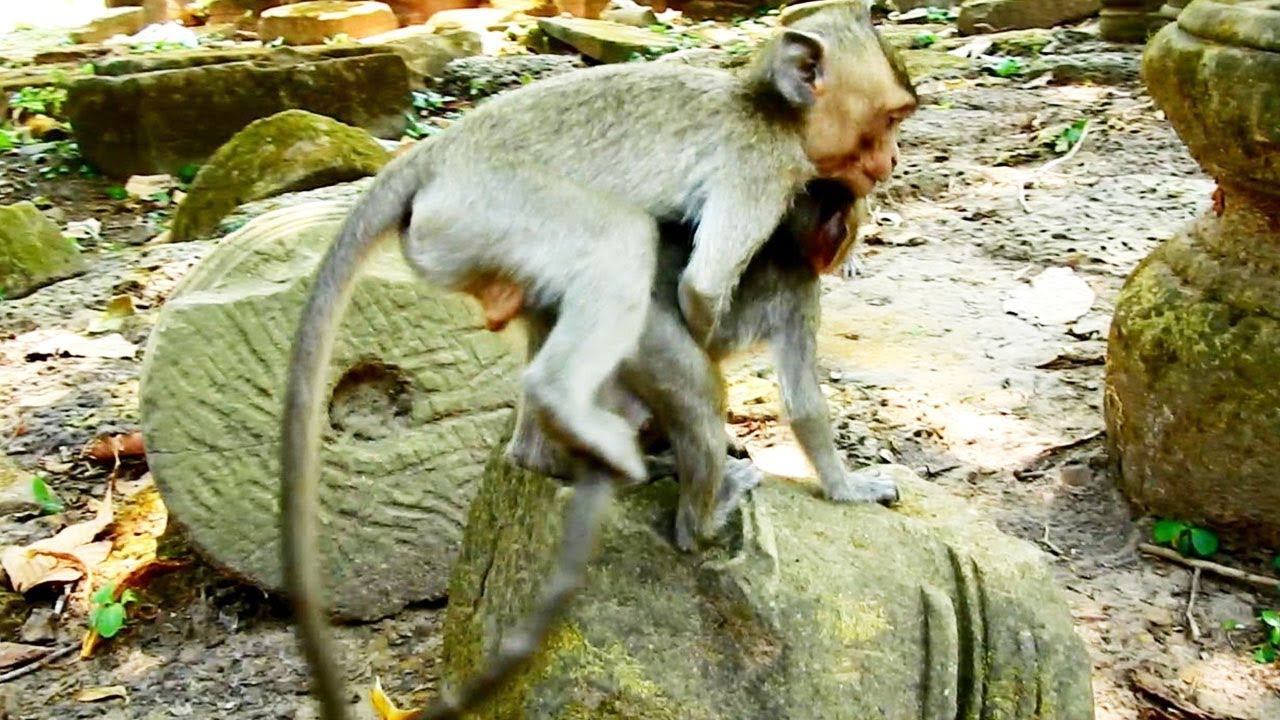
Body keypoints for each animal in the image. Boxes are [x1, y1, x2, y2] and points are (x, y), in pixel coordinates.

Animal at [280, 2, 917, 718]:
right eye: (890, 118)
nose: (893, 159)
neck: (767, 110)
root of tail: (434, 153)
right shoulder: (762, 175)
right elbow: (704, 295)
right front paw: (840, 482)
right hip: (491, 210)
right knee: (619, 245)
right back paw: (651, 469)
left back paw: (550, 451)